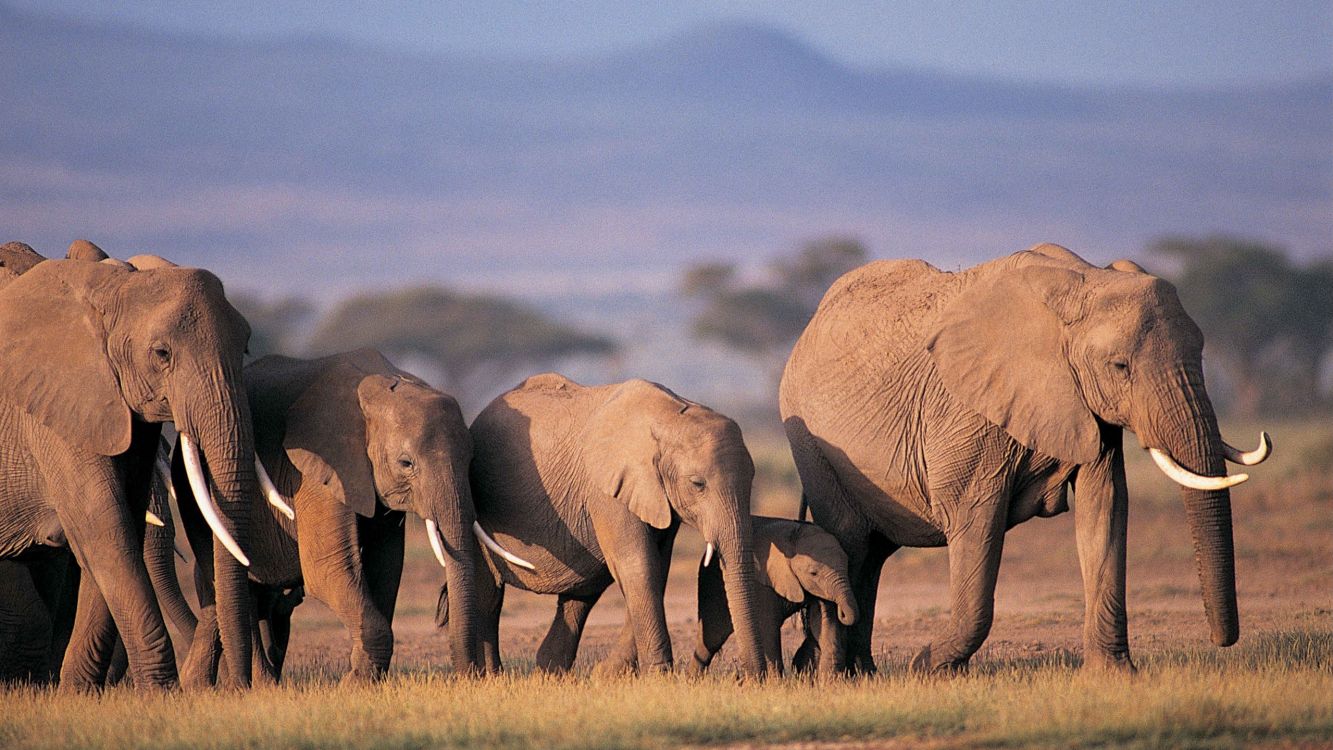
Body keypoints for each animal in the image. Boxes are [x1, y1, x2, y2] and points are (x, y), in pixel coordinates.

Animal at [0, 259, 257, 692]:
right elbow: (103, 528)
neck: (113, 287)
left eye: (245, 347)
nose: (239, 687)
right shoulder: (55, 410)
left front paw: (76, 693)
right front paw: (162, 693)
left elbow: (121, 529)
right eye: (162, 353)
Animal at [687, 519, 853, 676]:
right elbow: (767, 626)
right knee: (712, 636)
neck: (793, 535)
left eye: (847, 565)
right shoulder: (762, 583)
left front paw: (830, 681)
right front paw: (776, 683)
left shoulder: (821, 588)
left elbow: (823, 621)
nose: (843, 612)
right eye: (813, 573)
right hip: (712, 583)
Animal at [778, 245, 1269, 674]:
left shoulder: (1087, 410)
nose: (1222, 641)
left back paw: (860, 672)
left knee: (873, 556)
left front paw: (1115, 676)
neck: (1085, 281)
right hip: (813, 446)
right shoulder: (968, 413)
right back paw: (832, 672)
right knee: (852, 542)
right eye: (1119, 367)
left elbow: (1105, 510)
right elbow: (976, 520)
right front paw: (928, 669)